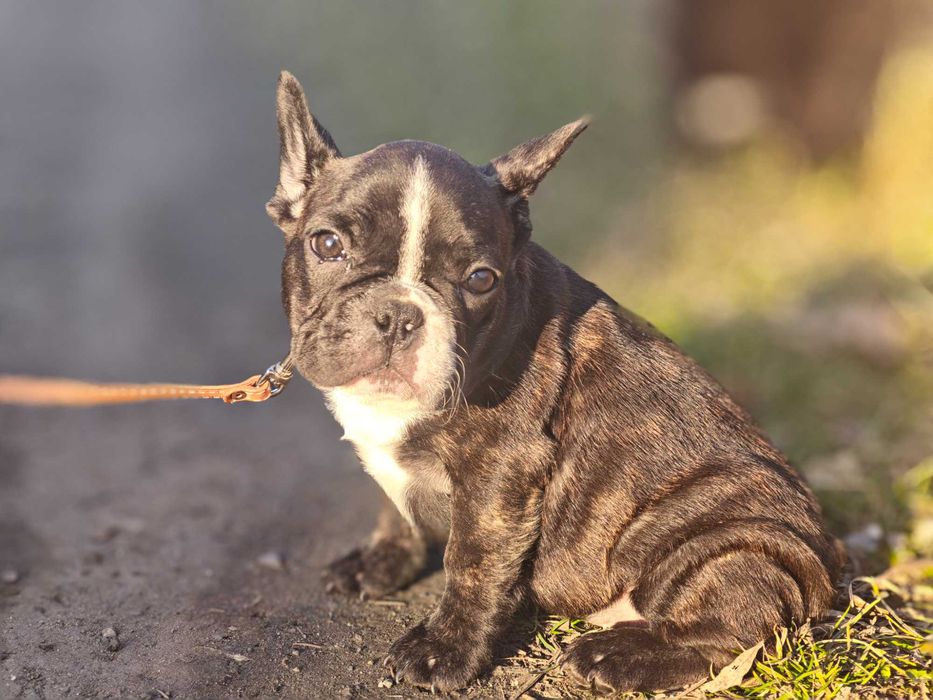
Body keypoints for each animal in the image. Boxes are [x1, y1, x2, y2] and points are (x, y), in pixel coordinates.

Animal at [266, 70, 845, 694]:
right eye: (327, 245)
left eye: (480, 279)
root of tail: (826, 569)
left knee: (725, 636)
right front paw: (378, 563)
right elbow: (391, 509)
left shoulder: (501, 471)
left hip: (723, 544)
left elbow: (472, 563)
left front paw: (443, 652)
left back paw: (618, 656)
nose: (399, 314)